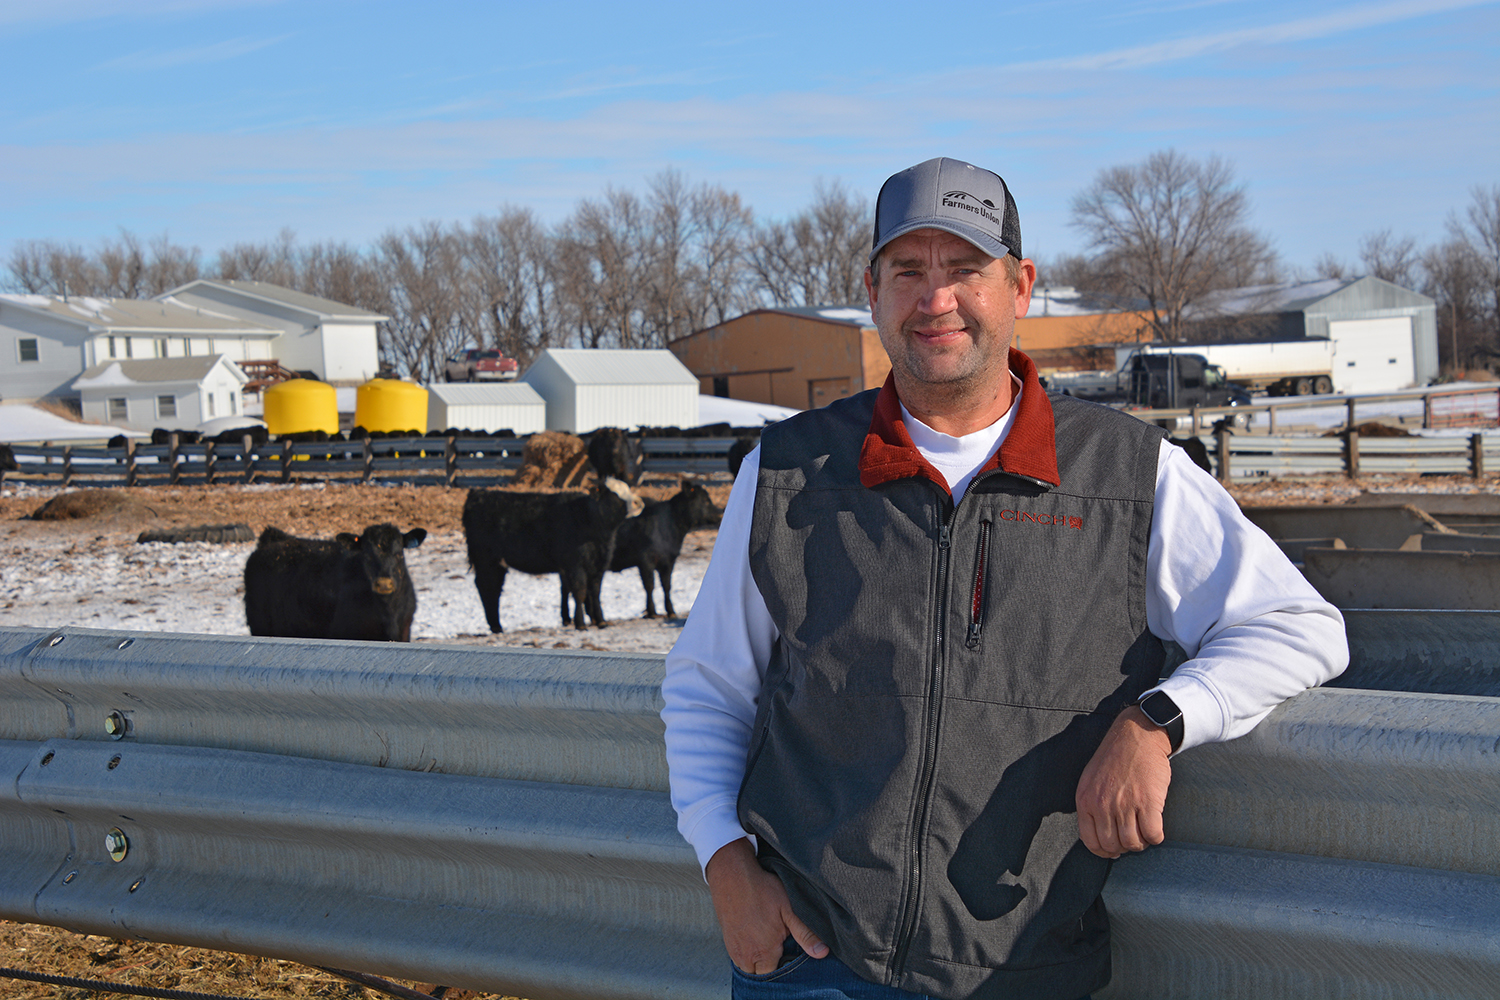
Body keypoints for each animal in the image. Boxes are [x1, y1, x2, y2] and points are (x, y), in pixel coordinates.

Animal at [462, 479, 639, 632]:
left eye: (628, 489)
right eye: (614, 494)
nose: (639, 502)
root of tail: (478, 493)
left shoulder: (598, 565)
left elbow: (595, 592)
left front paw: (601, 621)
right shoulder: (575, 565)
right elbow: (580, 592)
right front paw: (580, 624)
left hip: (497, 563)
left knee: (494, 589)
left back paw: (496, 625)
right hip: (485, 560)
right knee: (486, 587)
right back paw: (496, 627)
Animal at [612, 479, 723, 617]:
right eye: (705, 501)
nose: (721, 514)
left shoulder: (668, 560)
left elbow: (667, 585)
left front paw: (671, 610)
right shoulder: (645, 561)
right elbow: (649, 586)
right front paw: (652, 611)